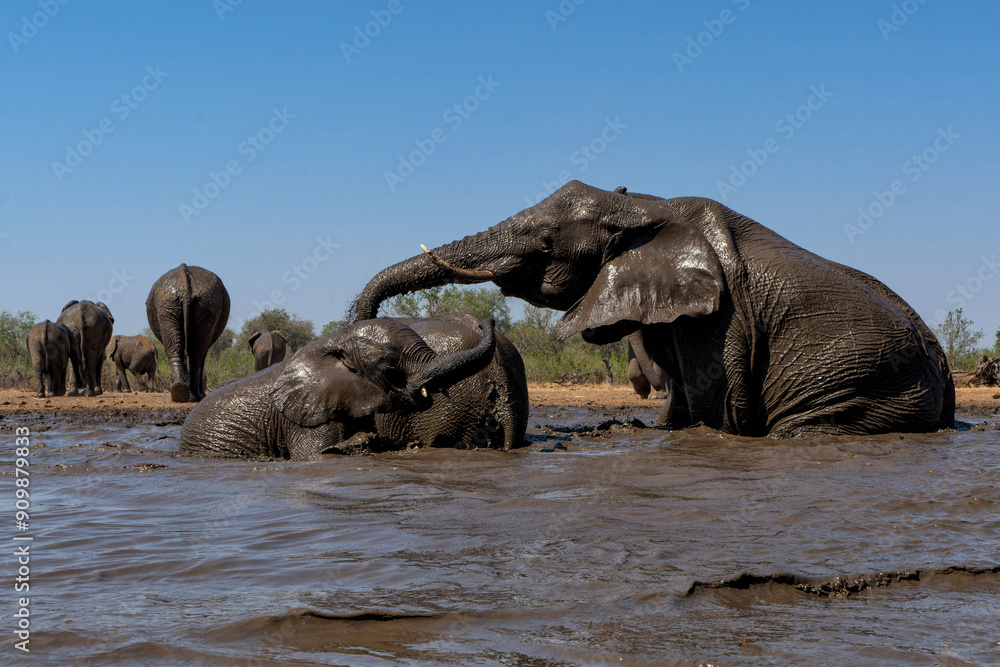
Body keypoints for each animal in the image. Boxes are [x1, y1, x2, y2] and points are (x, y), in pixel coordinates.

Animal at [180, 314, 528, 460]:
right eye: (390, 361)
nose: (487, 321)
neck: (334, 343)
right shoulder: (304, 418)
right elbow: (312, 454)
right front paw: (367, 442)